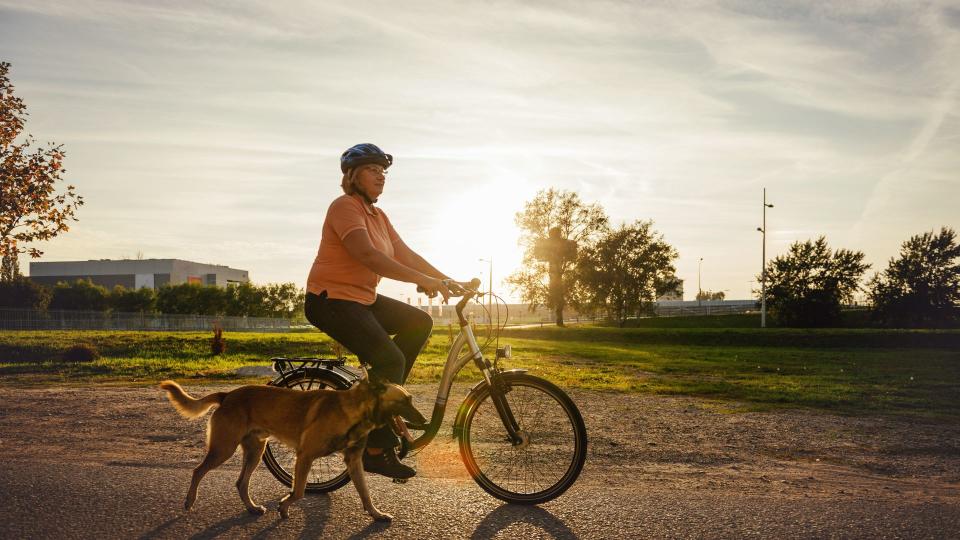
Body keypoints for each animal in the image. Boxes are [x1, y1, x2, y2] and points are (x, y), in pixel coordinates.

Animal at [160, 378, 424, 520]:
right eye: (404, 401)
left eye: (411, 399)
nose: (422, 420)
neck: (354, 411)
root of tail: (228, 395)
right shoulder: (305, 457)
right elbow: (298, 491)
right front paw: (284, 507)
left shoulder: (354, 462)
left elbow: (366, 494)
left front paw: (376, 514)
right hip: (223, 449)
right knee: (198, 471)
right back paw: (189, 501)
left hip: (255, 452)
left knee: (241, 483)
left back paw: (252, 507)